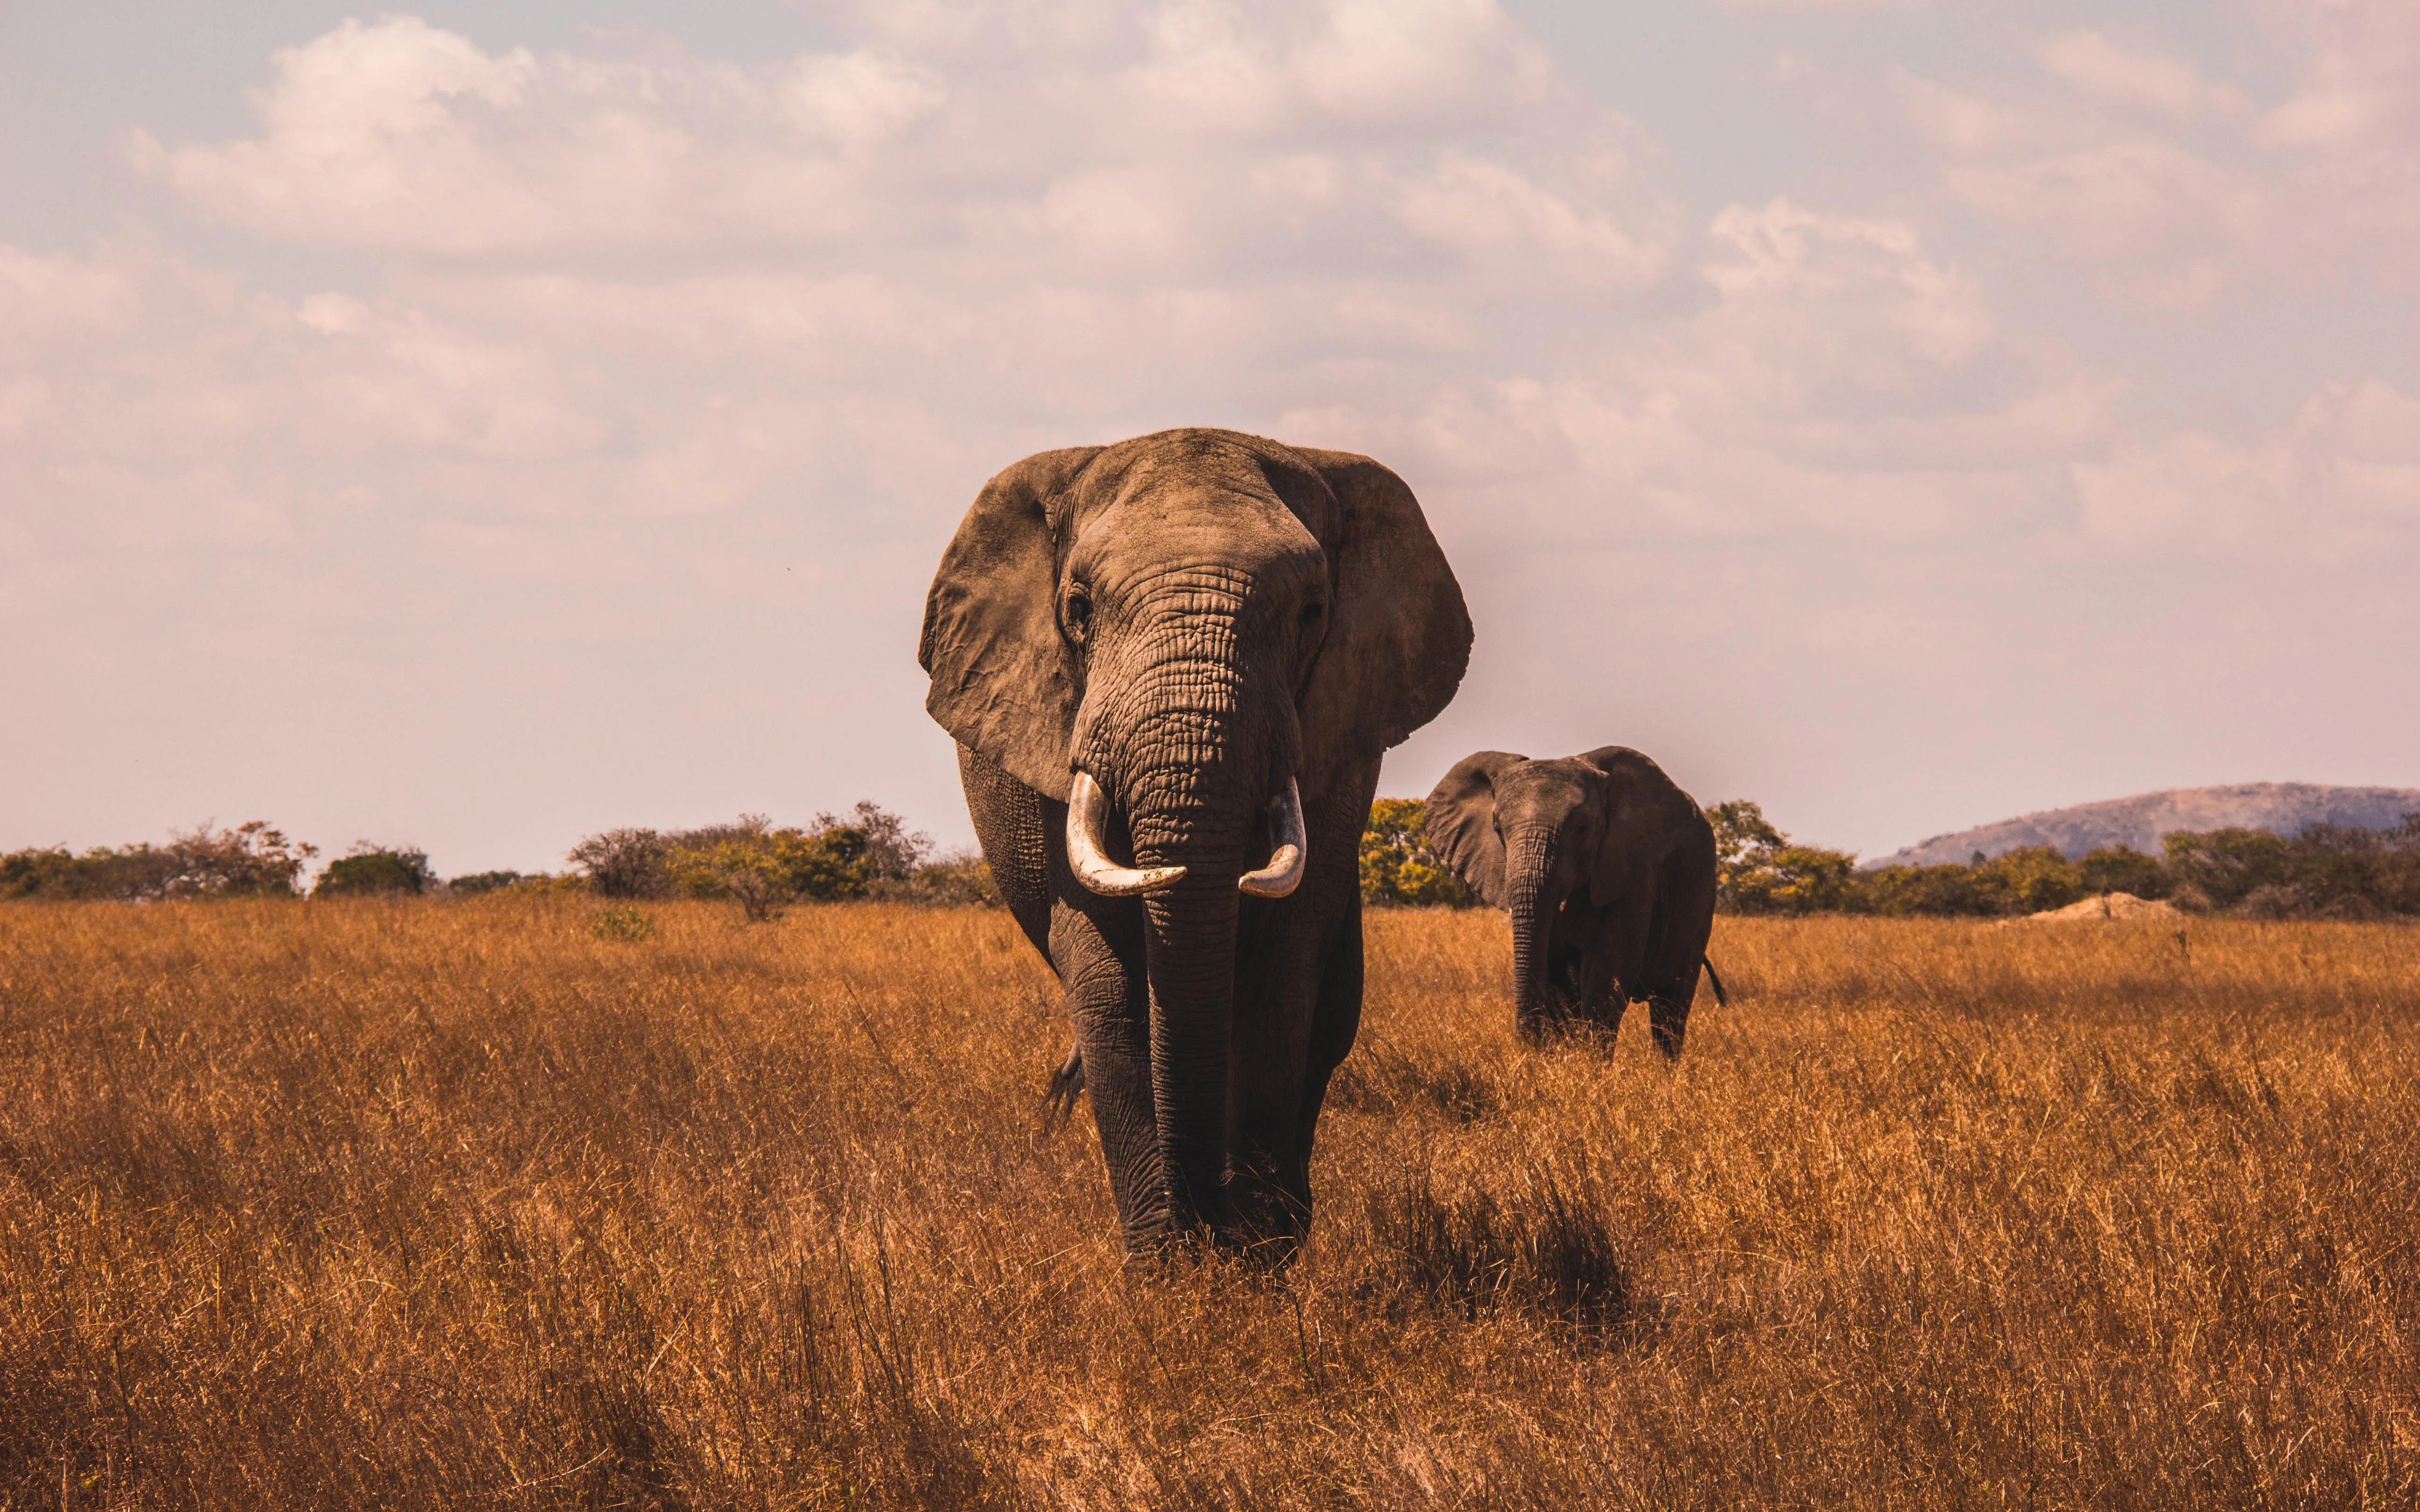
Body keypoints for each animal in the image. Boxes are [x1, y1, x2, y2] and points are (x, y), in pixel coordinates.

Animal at [918, 428, 1471, 1259]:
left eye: (1313, 612)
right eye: (1078, 610)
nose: (1206, 1222)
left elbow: (1283, 978)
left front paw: (1256, 1259)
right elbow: (1110, 985)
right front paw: (1168, 1268)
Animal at [1423, 747, 1725, 1055]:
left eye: (1583, 828)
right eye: (1497, 828)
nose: (1529, 1044)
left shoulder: (1634, 873)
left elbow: (1606, 978)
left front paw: (1590, 1064)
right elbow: (1557, 978)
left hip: (1700, 895)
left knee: (1671, 1007)